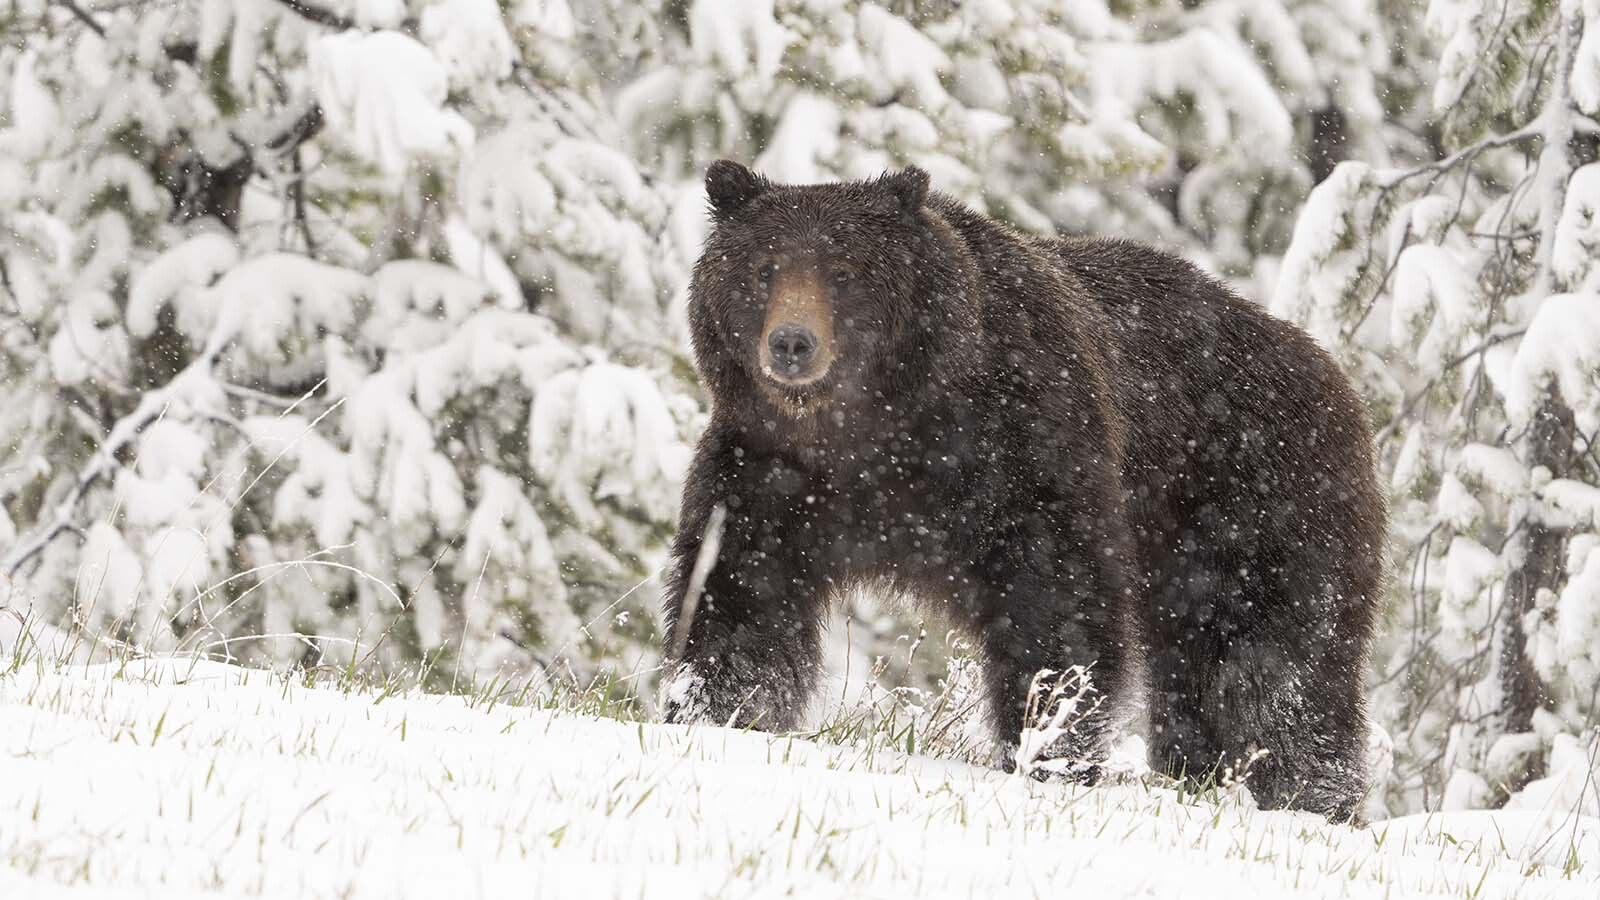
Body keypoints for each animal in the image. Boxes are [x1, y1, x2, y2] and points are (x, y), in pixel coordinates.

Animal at [660, 160, 1386, 820]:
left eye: (844, 272)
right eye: (764, 269)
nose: (791, 344)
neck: (877, 430)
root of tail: (1333, 373)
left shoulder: (1024, 450)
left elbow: (1058, 605)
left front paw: (1049, 747)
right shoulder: (771, 473)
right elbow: (739, 594)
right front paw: (716, 707)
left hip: (1256, 507)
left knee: (1277, 668)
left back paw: (1309, 798)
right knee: (1197, 682)